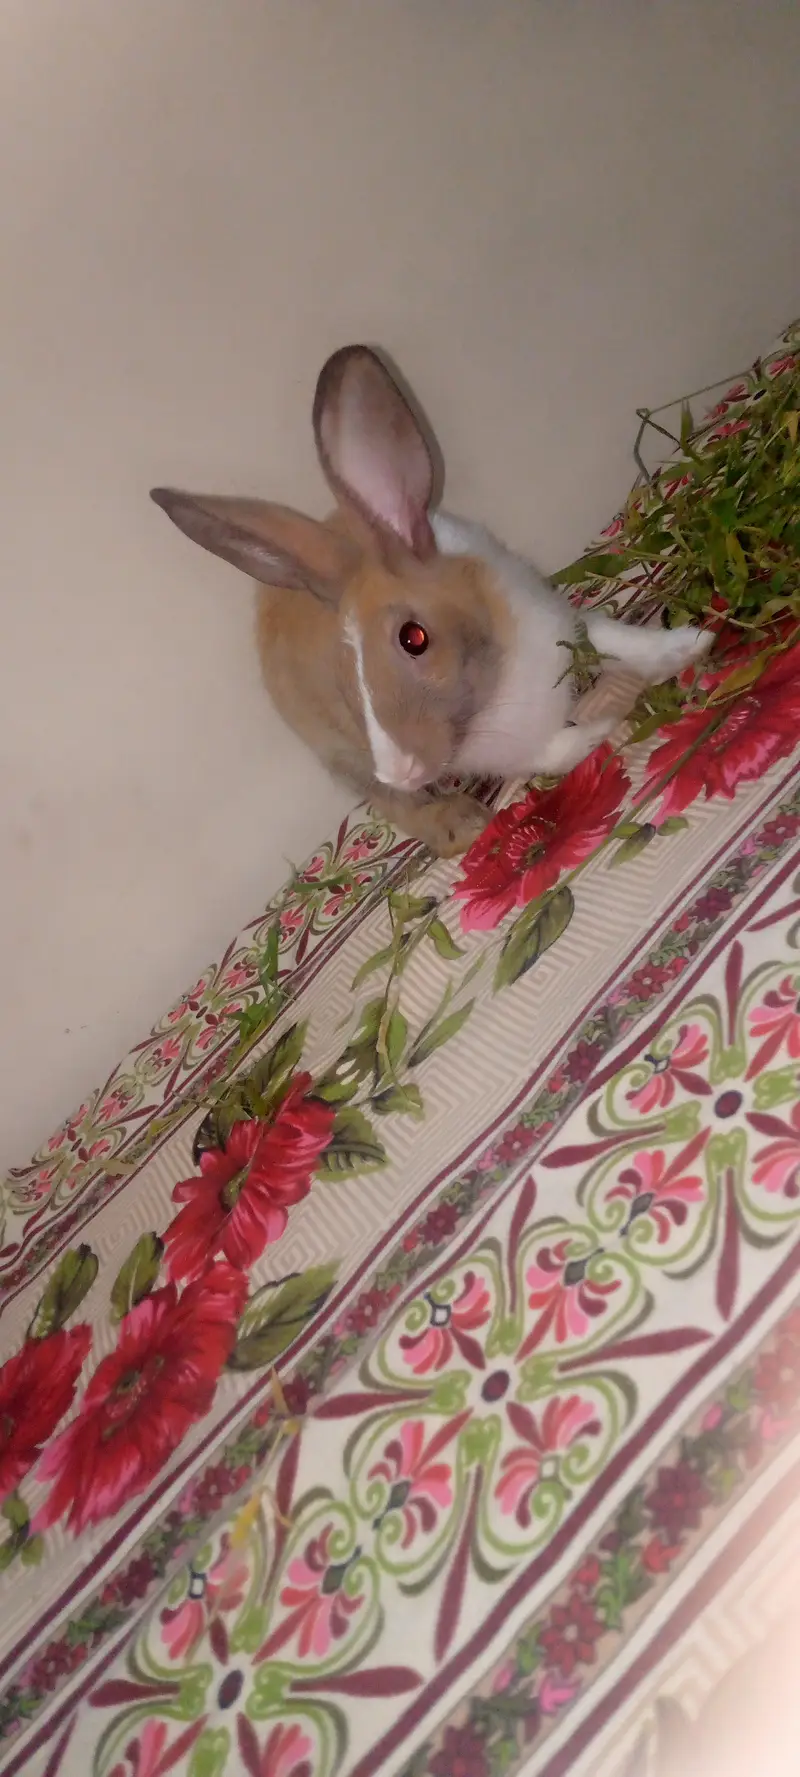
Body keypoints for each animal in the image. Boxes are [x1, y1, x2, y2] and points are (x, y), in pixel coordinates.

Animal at [151, 345, 712, 858]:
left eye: (413, 638)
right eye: (344, 682)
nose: (403, 769)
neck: (498, 672)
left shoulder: (562, 623)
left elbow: (612, 635)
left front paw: (690, 645)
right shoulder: (508, 748)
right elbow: (553, 753)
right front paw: (601, 730)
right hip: (343, 758)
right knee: (396, 806)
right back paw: (460, 823)